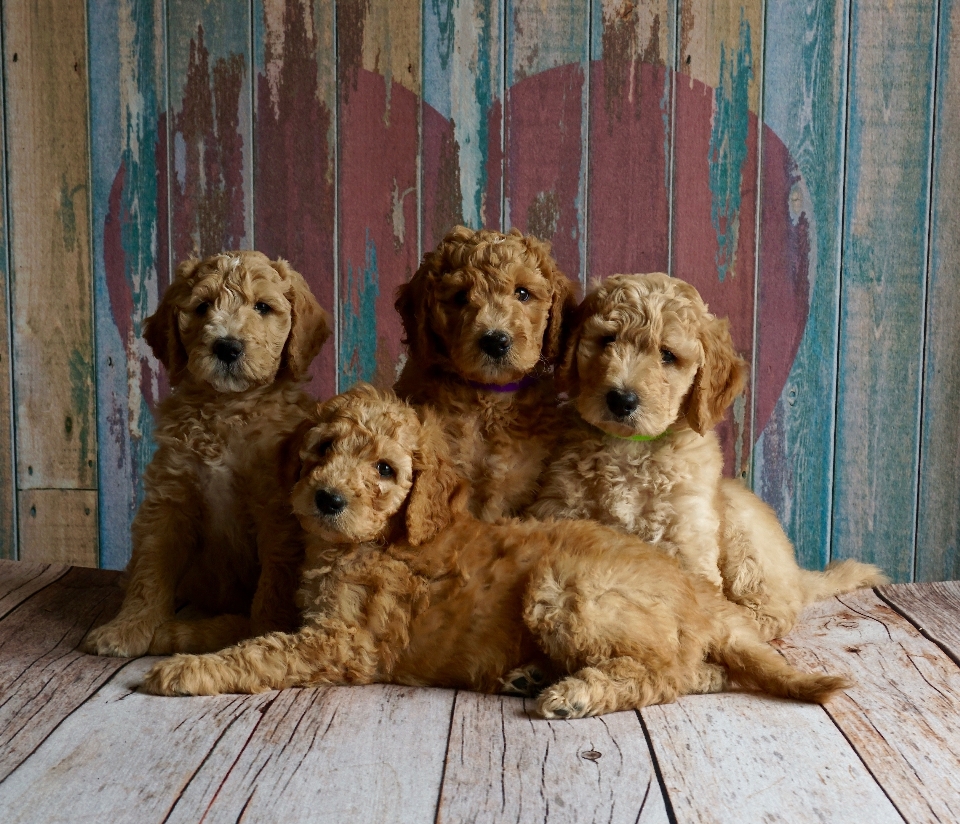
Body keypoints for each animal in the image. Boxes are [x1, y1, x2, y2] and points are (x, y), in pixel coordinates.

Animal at [83, 249, 330, 656]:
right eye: (201, 307)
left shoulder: (275, 510)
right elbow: (150, 569)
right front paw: (126, 628)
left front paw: (262, 633)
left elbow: (275, 578)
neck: (225, 409)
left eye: (262, 307)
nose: (227, 347)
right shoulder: (170, 497)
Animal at [141, 384, 848, 716]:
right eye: (322, 449)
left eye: (386, 470)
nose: (327, 499)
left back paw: (571, 693)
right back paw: (533, 674)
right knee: (694, 672)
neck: (377, 540)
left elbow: (261, 652)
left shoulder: (342, 643)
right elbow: (249, 632)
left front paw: (183, 671)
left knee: (662, 673)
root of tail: (696, 596)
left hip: (566, 592)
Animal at [528, 274, 888, 640]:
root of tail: (798, 576)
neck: (630, 448)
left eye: (668, 355)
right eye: (607, 340)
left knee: (774, 608)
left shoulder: (688, 535)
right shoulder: (562, 510)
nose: (621, 400)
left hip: (745, 534)